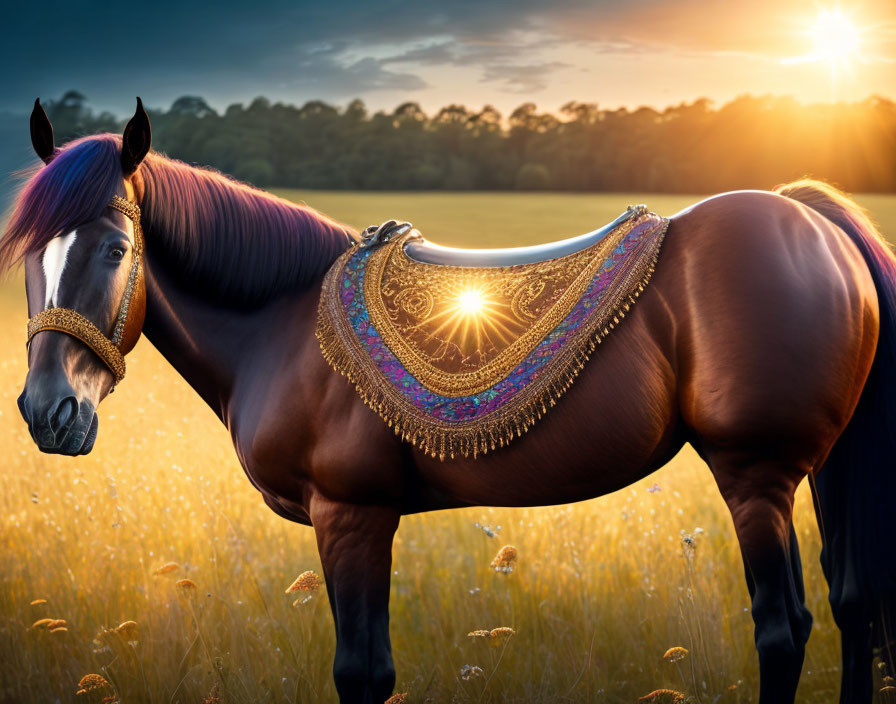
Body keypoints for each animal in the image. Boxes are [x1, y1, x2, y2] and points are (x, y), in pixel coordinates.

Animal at [1, 100, 896, 704]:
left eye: (116, 249)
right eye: (27, 256)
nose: (49, 412)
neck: (281, 321)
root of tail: (807, 214)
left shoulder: (351, 514)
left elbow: (362, 672)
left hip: (756, 475)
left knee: (784, 628)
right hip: (818, 472)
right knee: (853, 605)